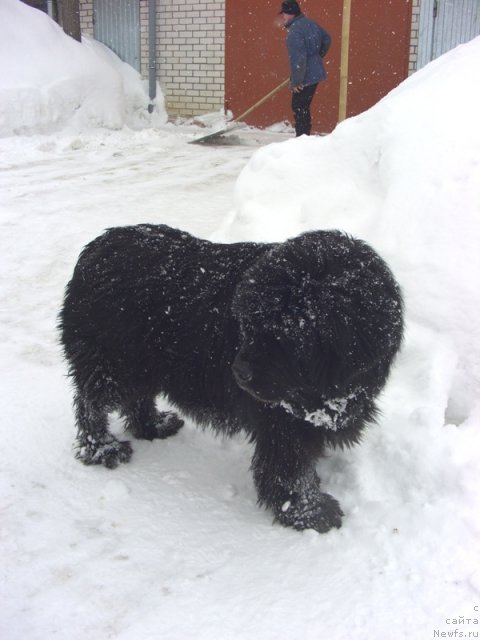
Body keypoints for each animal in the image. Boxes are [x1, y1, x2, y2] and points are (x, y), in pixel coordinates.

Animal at [61, 225, 404, 536]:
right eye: (249, 324)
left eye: (289, 335)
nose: (239, 373)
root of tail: (96, 248)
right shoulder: (280, 423)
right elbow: (289, 469)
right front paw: (309, 512)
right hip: (111, 363)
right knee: (90, 403)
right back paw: (103, 449)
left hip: (142, 364)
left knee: (137, 398)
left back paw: (153, 427)